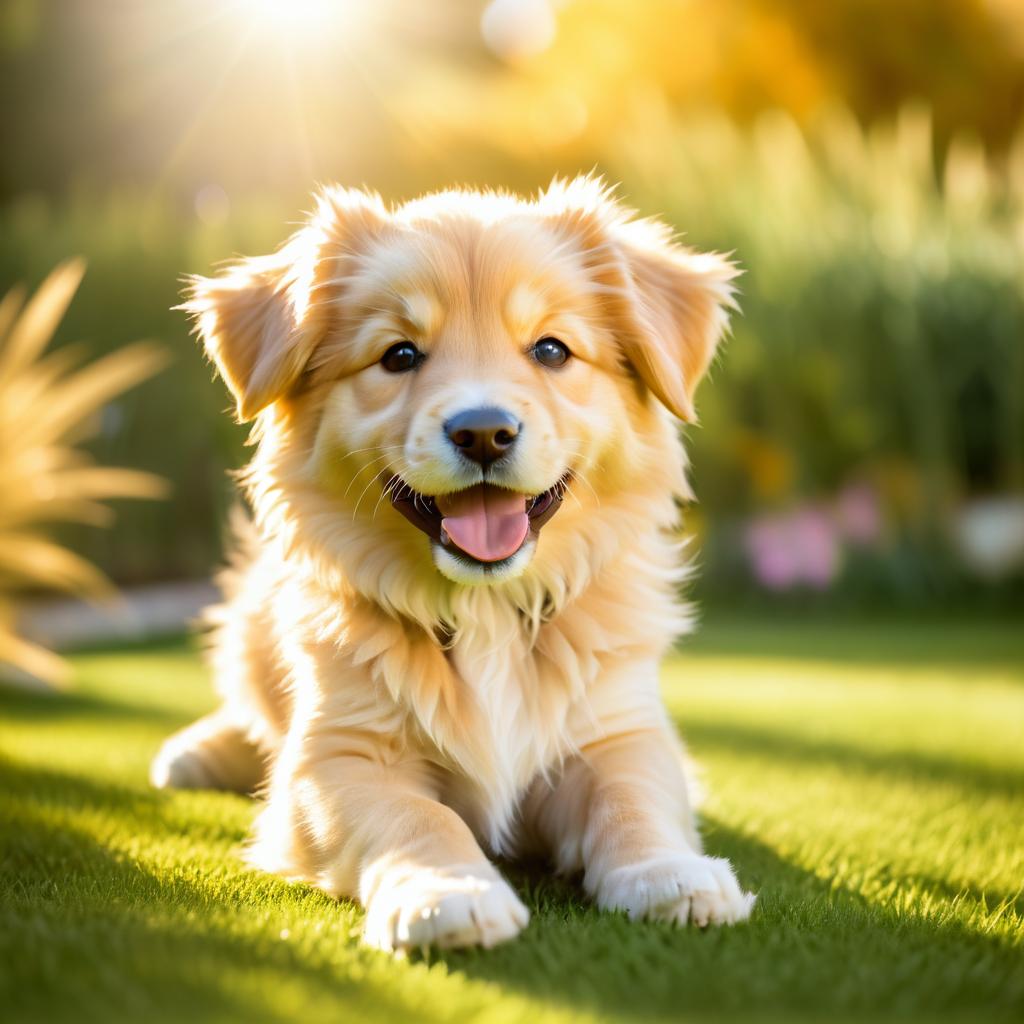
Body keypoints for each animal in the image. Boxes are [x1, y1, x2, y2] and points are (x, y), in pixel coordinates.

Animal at [153, 176, 761, 950]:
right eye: (399, 355)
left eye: (552, 349)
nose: (483, 432)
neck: (487, 609)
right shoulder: (340, 755)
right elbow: (419, 816)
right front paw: (451, 893)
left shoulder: (619, 728)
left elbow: (634, 797)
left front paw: (669, 875)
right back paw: (194, 752)